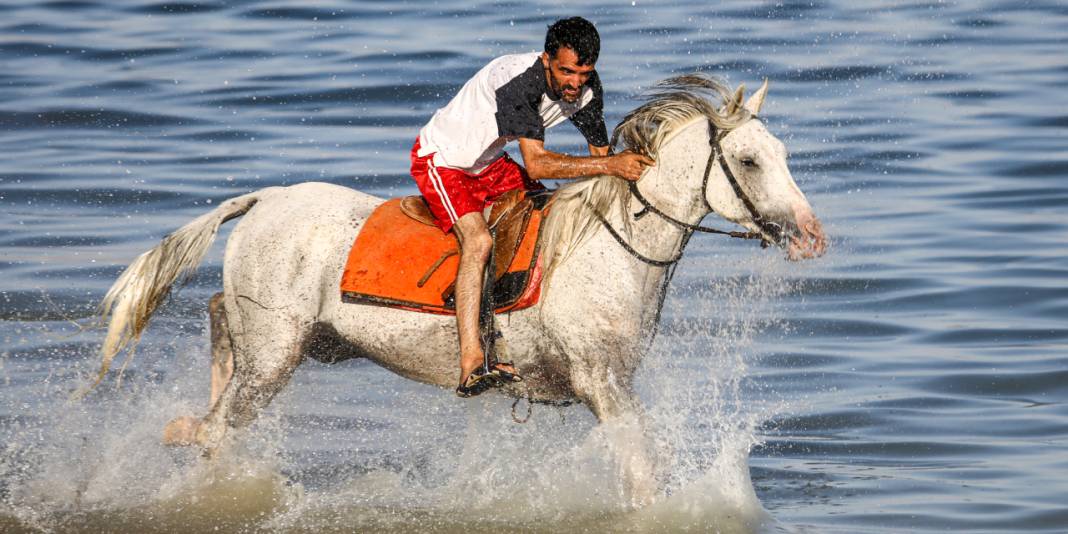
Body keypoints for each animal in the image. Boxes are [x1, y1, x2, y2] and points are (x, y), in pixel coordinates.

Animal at [89, 74, 824, 504]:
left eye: (783, 154)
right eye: (750, 160)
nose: (812, 235)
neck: (608, 248)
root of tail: (265, 199)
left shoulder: (608, 386)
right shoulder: (603, 385)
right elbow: (644, 471)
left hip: (299, 343)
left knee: (219, 335)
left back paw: (183, 426)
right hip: (274, 355)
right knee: (219, 425)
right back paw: (191, 436)